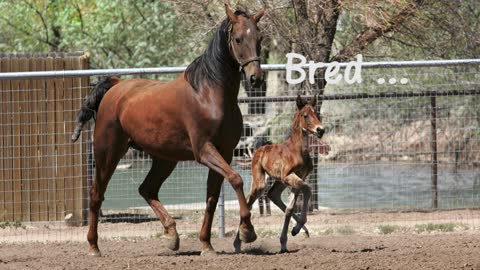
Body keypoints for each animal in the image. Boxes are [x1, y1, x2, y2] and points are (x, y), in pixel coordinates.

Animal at [233, 95, 324, 253]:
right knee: (250, 201)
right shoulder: (289, 176)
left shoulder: (299, 177)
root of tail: (258, 150)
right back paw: (238, 243)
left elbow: (290, 207)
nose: (320, 130)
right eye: (305, 115)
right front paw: (295, 229)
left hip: (279, 181)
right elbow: (307, 190)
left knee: (272, 194)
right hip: (261, 181)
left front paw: (292, 233)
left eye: (317, 114)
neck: (298, 151)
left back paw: (303, 231)